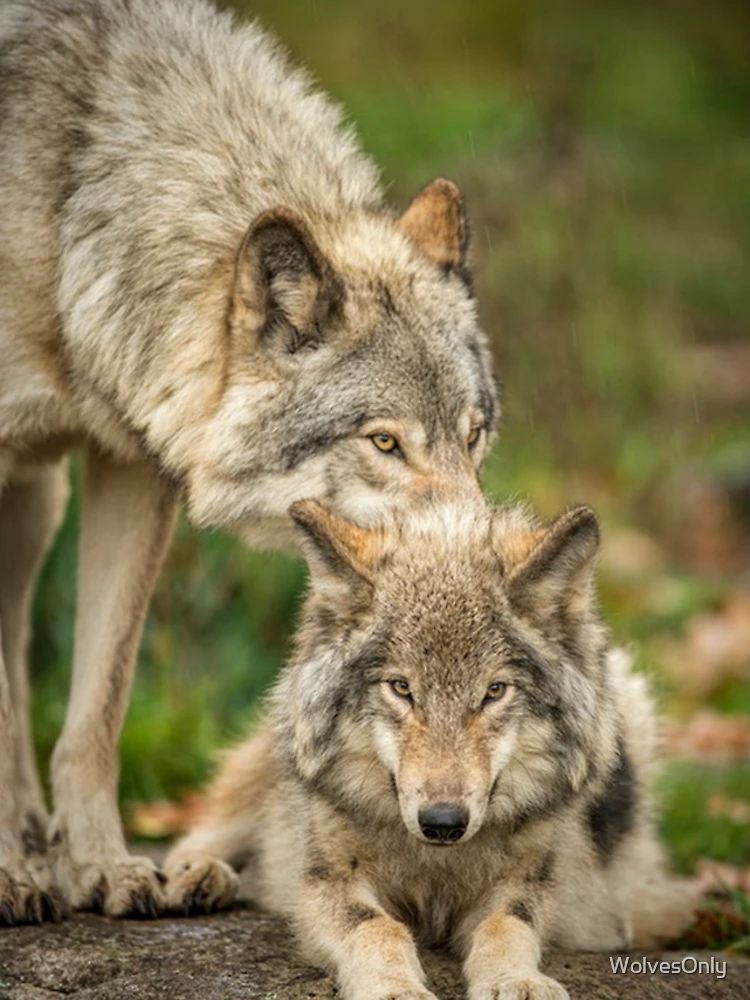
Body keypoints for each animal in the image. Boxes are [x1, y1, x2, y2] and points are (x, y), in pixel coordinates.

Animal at [0, 0, 497, 922]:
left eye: (475, 435)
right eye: (384, 442)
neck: (69, 198)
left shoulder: (133, 468)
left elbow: (96, 713)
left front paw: (105, 868)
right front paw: (21, 874)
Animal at [167, 499, 692, 1000]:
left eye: (494, 691)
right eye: (402, 688)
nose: (442, 822)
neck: (435, 864)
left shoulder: (531, 885)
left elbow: (508, 925)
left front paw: (516, 981)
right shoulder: (328, 881)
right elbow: (376, 926)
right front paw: (393, 987)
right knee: (209, 832)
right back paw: (194, 878)